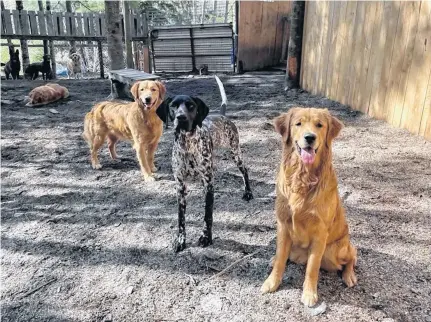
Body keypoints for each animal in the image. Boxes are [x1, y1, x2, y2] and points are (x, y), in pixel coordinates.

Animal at [158, 75, 253, 252]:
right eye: (173, 106)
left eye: (191, 105)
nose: (181, 118)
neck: (187, 145)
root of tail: (222, 115)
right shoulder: (180, 186)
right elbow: (181, 219)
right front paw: (180, 240)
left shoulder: (208, 184)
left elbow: (207, 215)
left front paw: (206, 237)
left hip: (235, 153)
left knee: (245, 170)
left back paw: (248, 192)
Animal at [264, 108, 358, 306]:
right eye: (298, 123)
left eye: (319, 125)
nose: (309, 137)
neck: (302, 177)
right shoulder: (283, 225)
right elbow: (280, 260)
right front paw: (271, 282)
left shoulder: (320, 233)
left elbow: (312, 267)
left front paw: (309, 294)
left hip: (334, 252)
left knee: (353, 255)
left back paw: (349, 276)